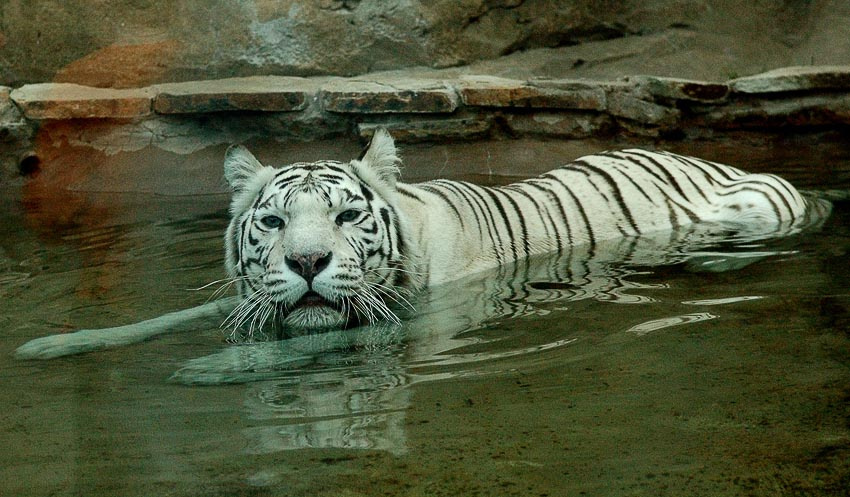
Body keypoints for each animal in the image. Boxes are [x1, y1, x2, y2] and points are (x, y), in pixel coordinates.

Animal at [15, 128, 827, 360]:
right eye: (273, 224)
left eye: (347, 217)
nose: (306, 263)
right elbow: (166, 319)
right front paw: (48, 345)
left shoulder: (412, 321)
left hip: (756, 204)